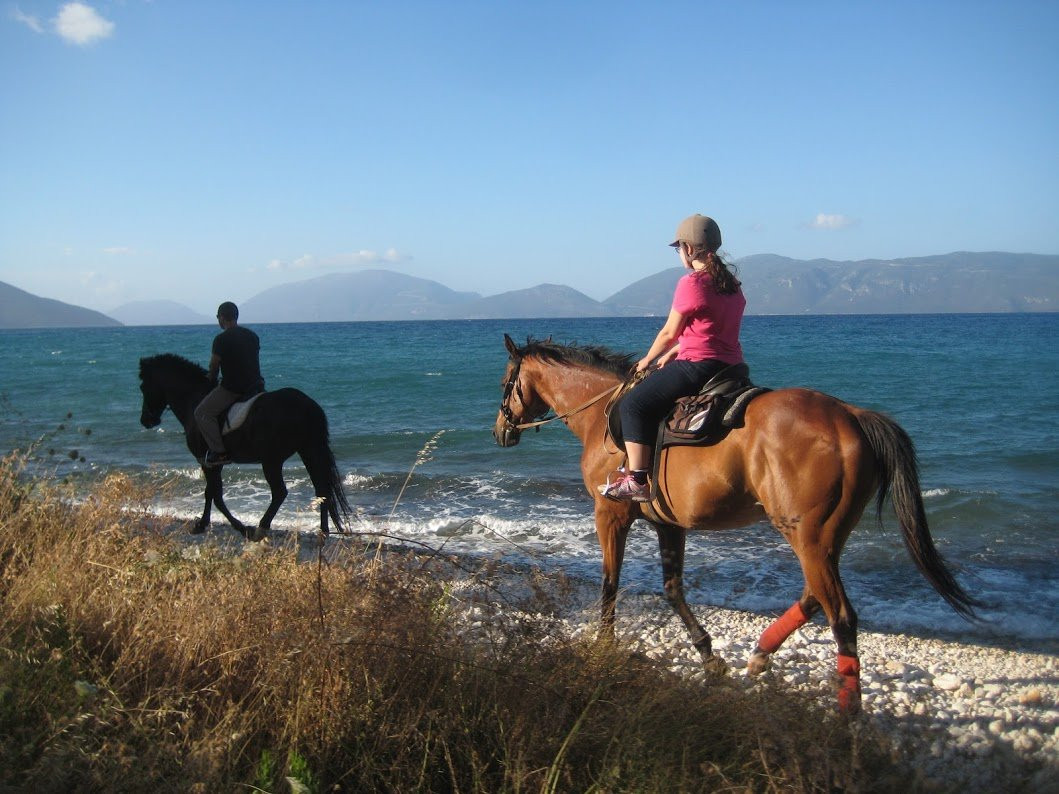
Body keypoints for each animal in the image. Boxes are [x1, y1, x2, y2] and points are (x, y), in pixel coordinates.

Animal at [138, 354, 351, 541]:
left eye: (143, 386)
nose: (146, 420)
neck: (194, 399)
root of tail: (308, 406)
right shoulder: (215, 462)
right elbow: (211, 493)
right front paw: (203, 524)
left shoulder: (206, 461)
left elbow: (215, 495)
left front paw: (238, 527)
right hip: (308, 451)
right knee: (322, 489)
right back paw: (323, 531)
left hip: (272, 460)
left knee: (280, 492)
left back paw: (261, 528)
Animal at [493, 335, 979, 713]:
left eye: (504, 384)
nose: (500, 431)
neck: (601, 417)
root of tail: (851, 416)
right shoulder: (669, 524)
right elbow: (672, 589)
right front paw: (710, 658)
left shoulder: (610, 514)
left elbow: (610, 583)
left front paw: (603, 645)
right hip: (823, 535)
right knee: (815, 596)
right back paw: (761, 654)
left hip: (806, 535)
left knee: (841, 615)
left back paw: (847, 714)